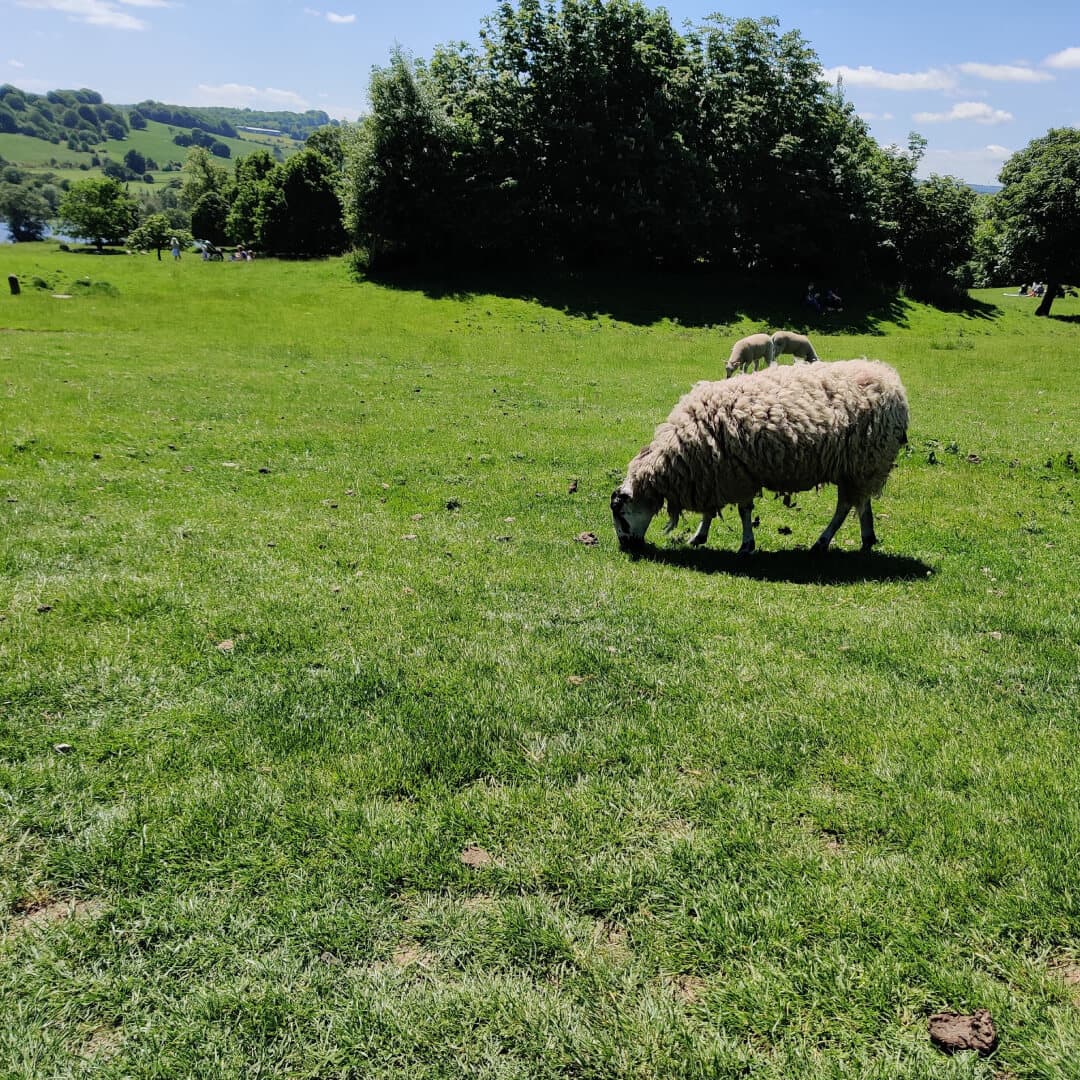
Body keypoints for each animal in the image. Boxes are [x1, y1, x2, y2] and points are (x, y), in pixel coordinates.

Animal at [610, 359, 908, 554]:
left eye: (621, 514)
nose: (625, 547)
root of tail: (890, 380)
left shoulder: (735, 474)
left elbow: (744, 511)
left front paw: (746, 545)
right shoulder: (713, 473)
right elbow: (710, 510)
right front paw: (699, 536)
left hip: (862, 463)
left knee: (845, 506)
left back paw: (823, 541)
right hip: (862, 467)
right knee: (861, 503)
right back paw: (867, 539)